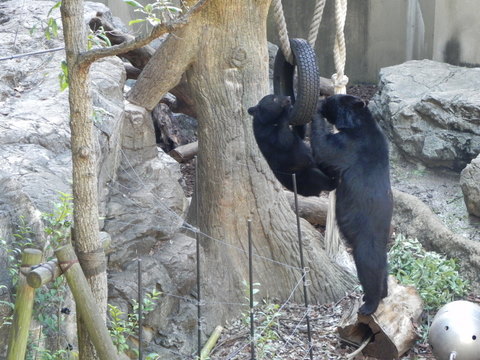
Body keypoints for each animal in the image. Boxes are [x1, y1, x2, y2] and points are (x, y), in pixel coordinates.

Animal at [312, 93, 394, 316]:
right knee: (383, 268)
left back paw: (369, 304)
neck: (359, 123)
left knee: (370, 268)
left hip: (365, 240)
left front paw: (315, 112)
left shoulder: (349, 145)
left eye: (332, 99)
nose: (324, 100)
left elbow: (324, 150)